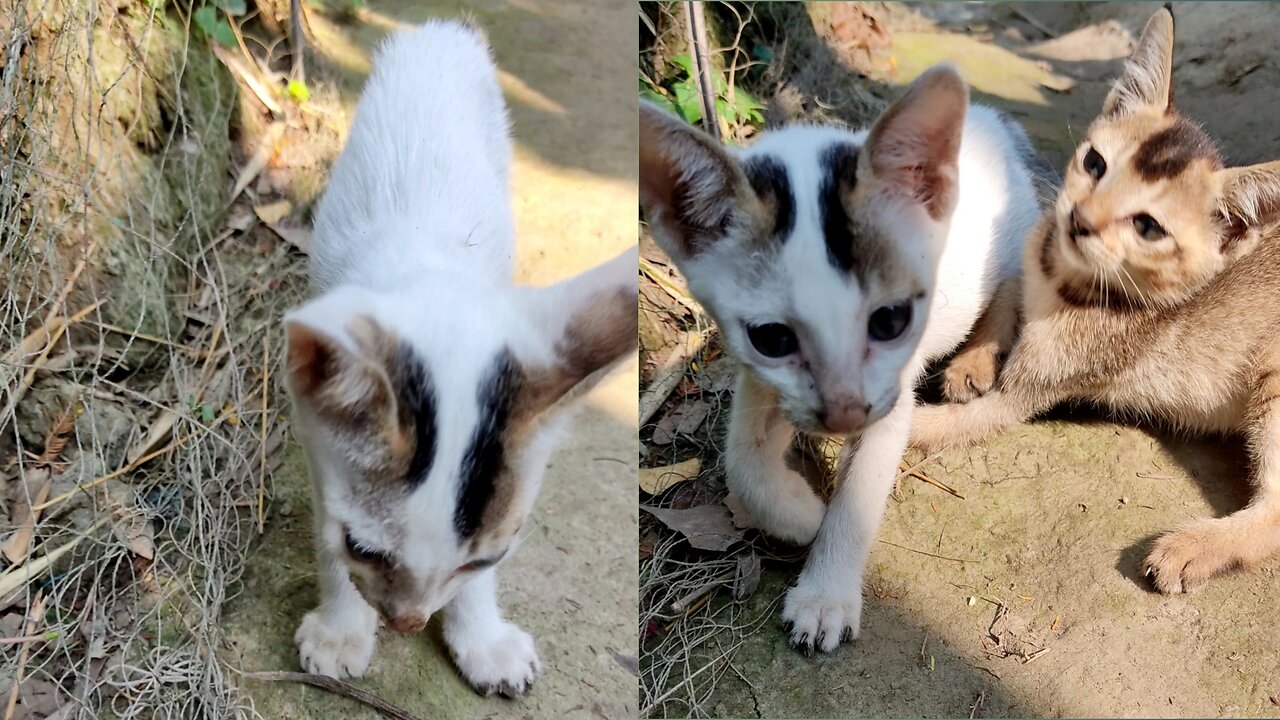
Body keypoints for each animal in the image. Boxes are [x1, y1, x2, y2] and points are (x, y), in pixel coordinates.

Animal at [285, 20, 634, 696]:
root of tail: (440, 29)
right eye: (364, 550)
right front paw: (342, 628)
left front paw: (480, 637)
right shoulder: (316, 440)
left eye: (485, 558)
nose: (408, 622)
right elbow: (323, 526)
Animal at [640, 64, 1049, 653]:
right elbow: (743, 461)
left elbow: (859, 494)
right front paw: (799, 512)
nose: (845, 415)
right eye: (772, 338)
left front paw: (824, 595)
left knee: (1013, 285)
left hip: (1016, 236)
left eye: (891, 320)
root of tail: (992, 121)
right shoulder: (762, 378)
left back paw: (973, 361)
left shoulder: (891, 391)